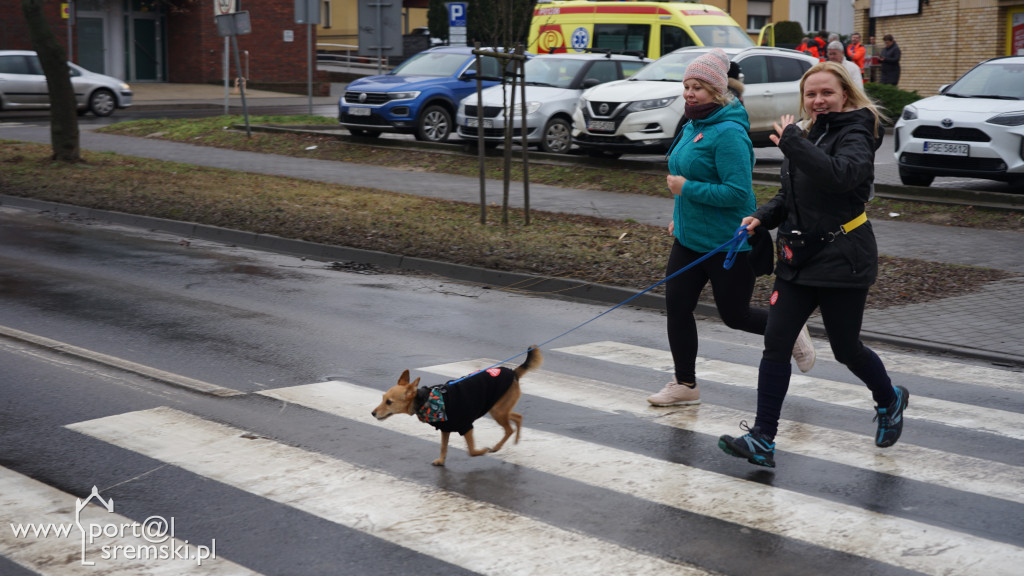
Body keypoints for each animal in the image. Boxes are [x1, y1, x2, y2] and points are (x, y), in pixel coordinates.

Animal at [370, 344, 544, 461]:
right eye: (382, 398)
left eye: (389, 402)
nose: (372, 413)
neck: (427, 400)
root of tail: (513, 372)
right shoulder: (446, 429)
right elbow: (443, 447)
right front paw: (441, 461)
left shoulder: (466, 426)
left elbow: (471, 450)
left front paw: (481, 451)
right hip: (498, 408)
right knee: (517, 417)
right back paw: (515, 439)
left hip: (498, 411)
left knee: (509, 429)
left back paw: (496, 447)